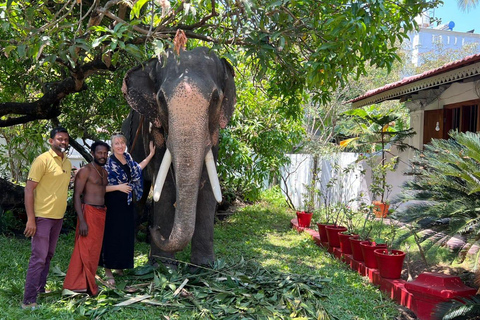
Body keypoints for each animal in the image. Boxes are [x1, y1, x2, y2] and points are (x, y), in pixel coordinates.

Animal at [122, 47, 236, 268]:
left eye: (215, 99)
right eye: (160, 99)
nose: (154, 230)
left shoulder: (214, 135)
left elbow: (208, 187)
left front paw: (204, 268)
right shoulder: (154, 132)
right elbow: (165, 187)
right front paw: (163, 266)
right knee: (139, 193)